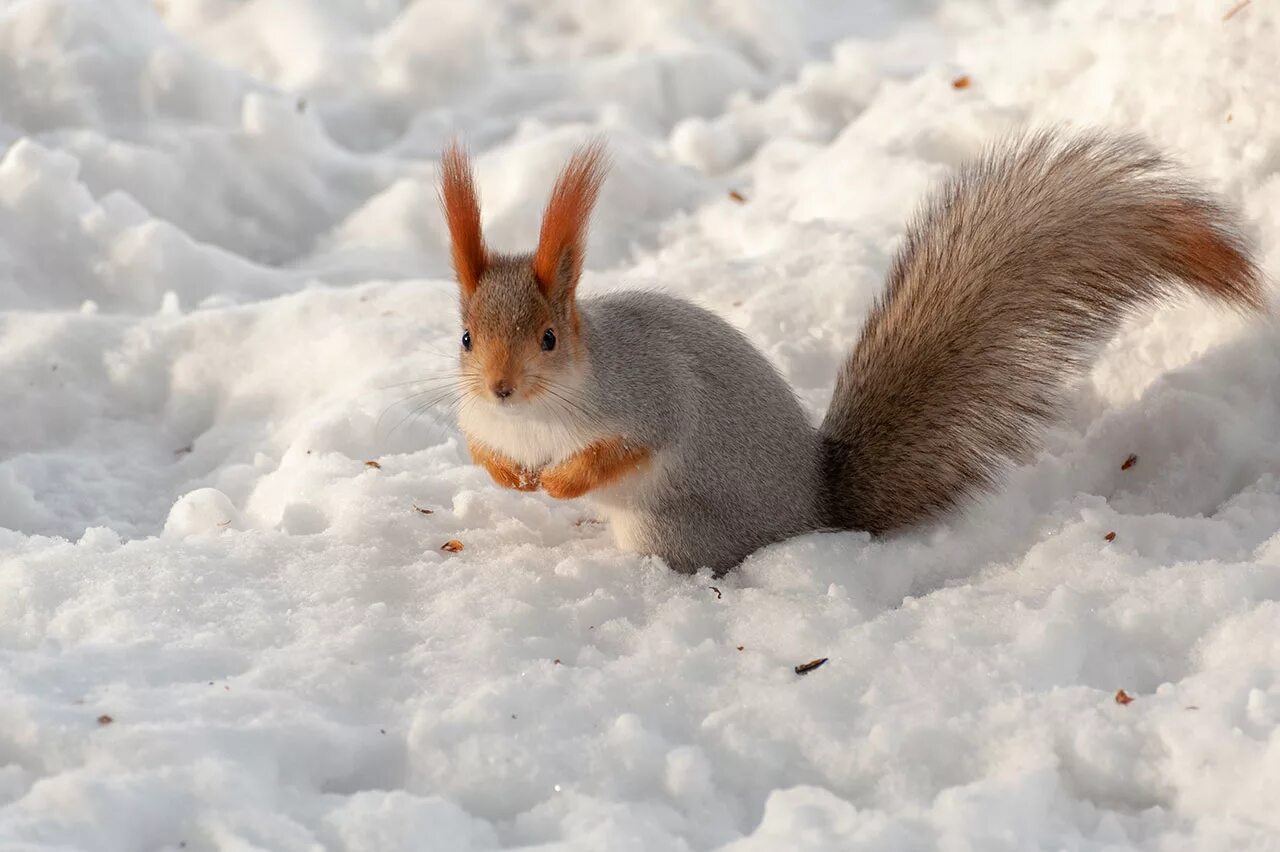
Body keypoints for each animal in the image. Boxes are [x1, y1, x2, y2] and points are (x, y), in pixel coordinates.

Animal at [437, 129, 1259, 573]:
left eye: (549, 337)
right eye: (466, 336)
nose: (501, 387)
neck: (539, 413)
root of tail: (816, 506)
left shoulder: (647, 395)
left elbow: (628, 447)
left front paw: (562, 481)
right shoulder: (478, 418)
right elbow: (480, 449)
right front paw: (511, 476)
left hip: (671, 525)